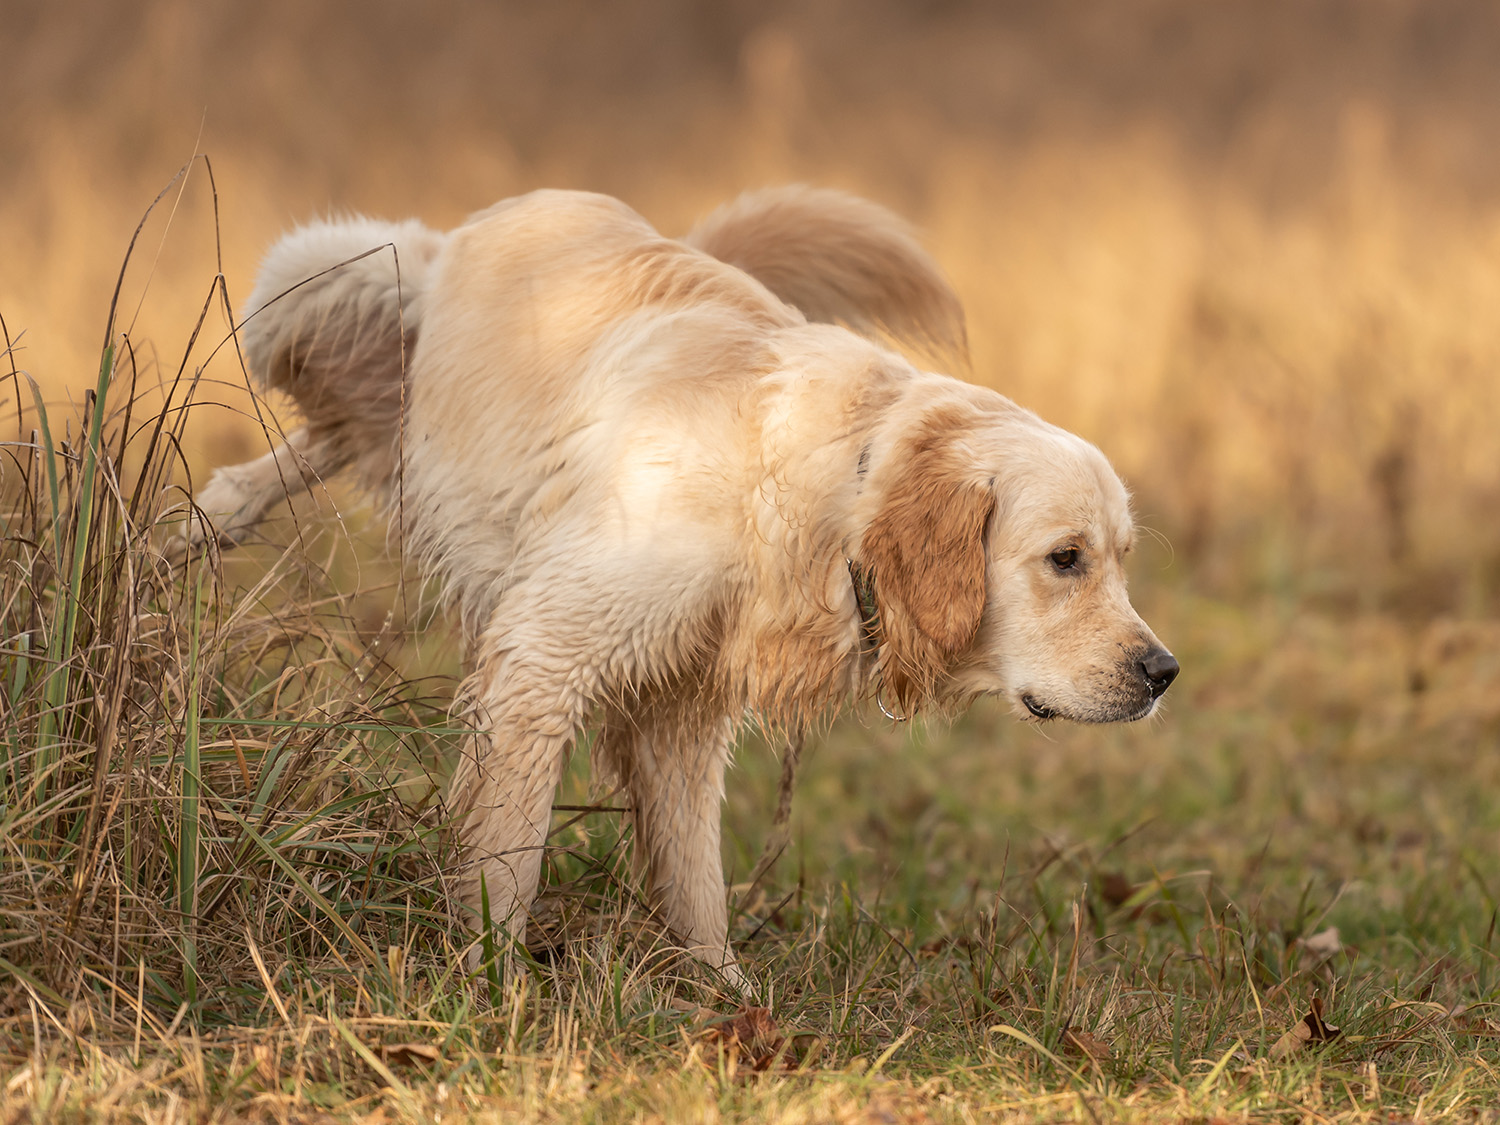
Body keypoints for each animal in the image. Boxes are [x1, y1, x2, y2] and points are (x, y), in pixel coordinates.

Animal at [184, 185, 1170, 984]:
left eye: (1122, 556)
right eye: (1066, 557)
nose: (1163, 672)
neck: (832, 489)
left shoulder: (684, 707)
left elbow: (695, 879)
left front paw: (724, 995)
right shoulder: (543, 655)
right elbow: (508, 853)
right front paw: (487, 982)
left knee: (324, 442)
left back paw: (192, 529)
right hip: (319, 286)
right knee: (319, 420)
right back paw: (188, 529)